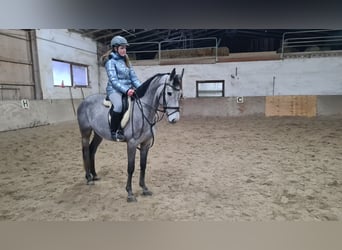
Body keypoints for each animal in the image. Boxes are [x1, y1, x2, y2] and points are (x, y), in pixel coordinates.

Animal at [77, 67, 184, 202]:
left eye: (180, 94)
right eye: (169, 93)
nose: (175, 119)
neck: (143, 111)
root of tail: (84, 101)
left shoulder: (145, 144)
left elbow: (143, 165)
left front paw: (144, 188)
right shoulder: (132, 144)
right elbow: (131, 167)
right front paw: (130, 193)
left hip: (98, 134)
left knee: (92, 150)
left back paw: (94, 175)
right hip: (85, 132)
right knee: (85, 151)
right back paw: (89, 178)